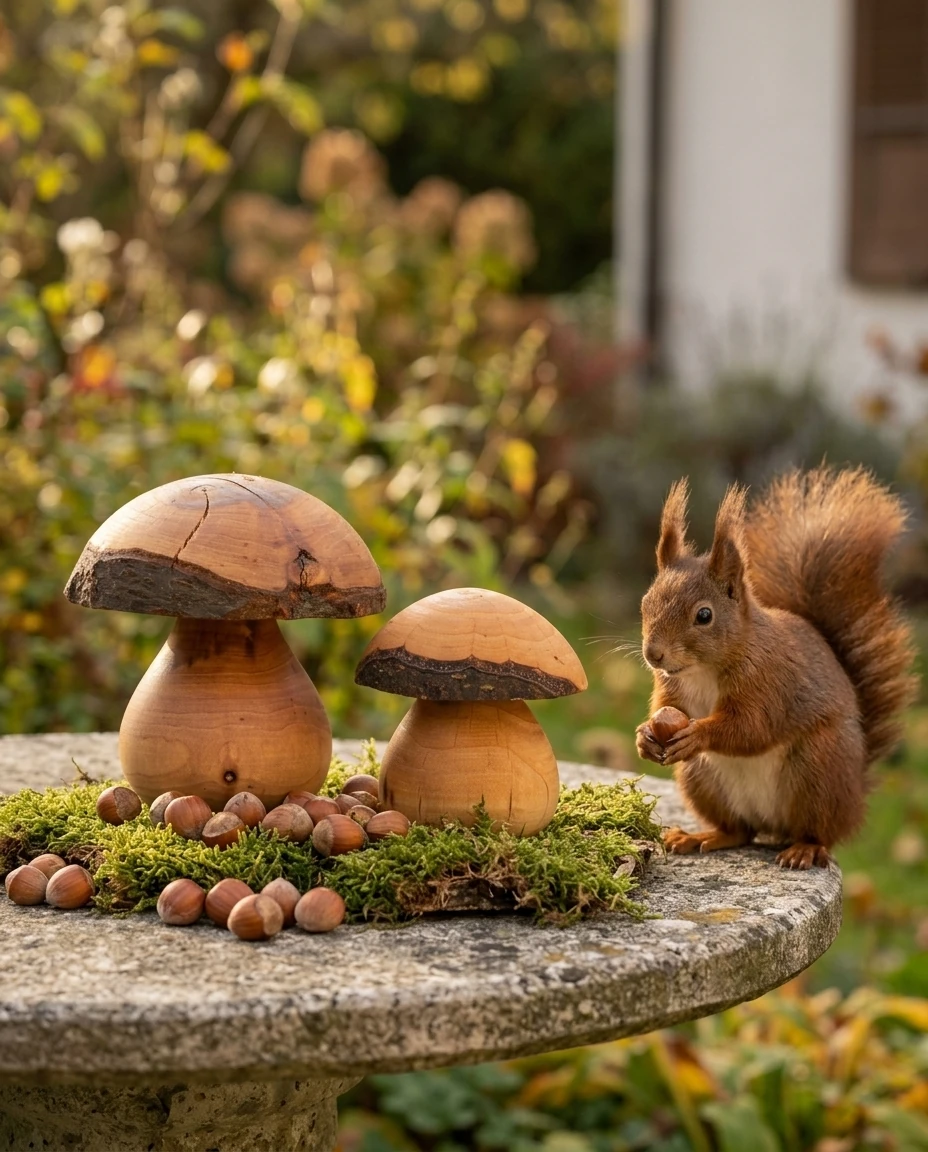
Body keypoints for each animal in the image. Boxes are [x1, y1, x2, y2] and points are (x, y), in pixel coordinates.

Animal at [635, 466, 917, 870]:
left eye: (704, 615)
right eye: (645, 602)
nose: (653, 654)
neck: (703, 669)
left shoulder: (768, 682)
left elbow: (751, 728)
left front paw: (698, 734)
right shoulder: (671, 687)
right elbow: (665, 710)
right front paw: (644, 735)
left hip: (819, 769)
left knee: (819, 832)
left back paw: (805, 849)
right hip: (700, 778)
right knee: (739, 831)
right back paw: (703, 836)